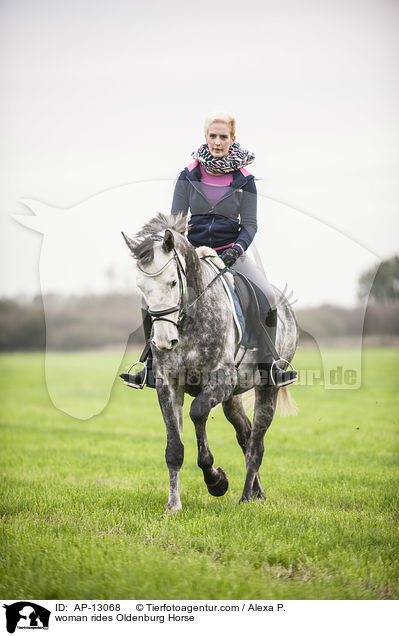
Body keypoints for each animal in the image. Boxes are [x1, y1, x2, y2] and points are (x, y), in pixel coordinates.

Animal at [123, 214, 298, 512]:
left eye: (173, 282)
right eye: (141, 288)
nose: (164, 341)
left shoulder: (221, 379)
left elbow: (198, 413)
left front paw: (216, 481)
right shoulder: (168, 386)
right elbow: (174, 449)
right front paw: (173, 506)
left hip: (267, 386)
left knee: (256, 443)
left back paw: (246, 497)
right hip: (232, 397)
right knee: (245, 435)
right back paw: (257, 493)